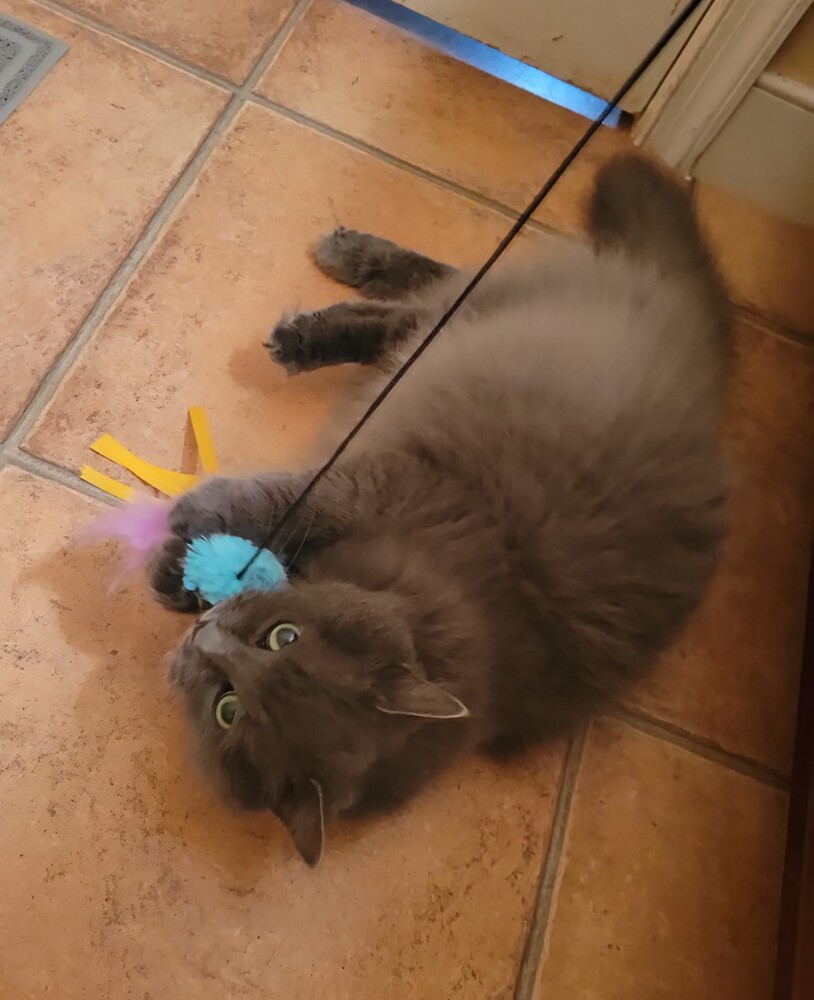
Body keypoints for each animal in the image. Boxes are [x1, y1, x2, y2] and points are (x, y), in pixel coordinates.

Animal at [151, 156, 732, 868]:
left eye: (229, 705)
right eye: (283, 636)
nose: (202, 641)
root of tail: (687, 322)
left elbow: (267, 513)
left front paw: (182, 565)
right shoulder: (387, 478)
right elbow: (276, 504)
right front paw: (183, 561)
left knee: (417, 304)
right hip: (476, 311)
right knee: (434, 287)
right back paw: (330, 280)